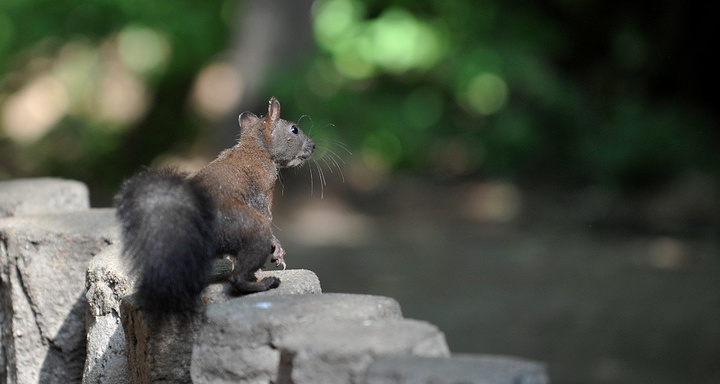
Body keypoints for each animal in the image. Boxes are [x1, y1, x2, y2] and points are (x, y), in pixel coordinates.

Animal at [114, 97, 312, 314]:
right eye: (294, 129)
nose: (313, 145)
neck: (255, 148)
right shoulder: (263, 189)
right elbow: (266, 214)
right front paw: (276, 250)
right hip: (247, 226)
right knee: (236, 277)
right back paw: (263, 283)